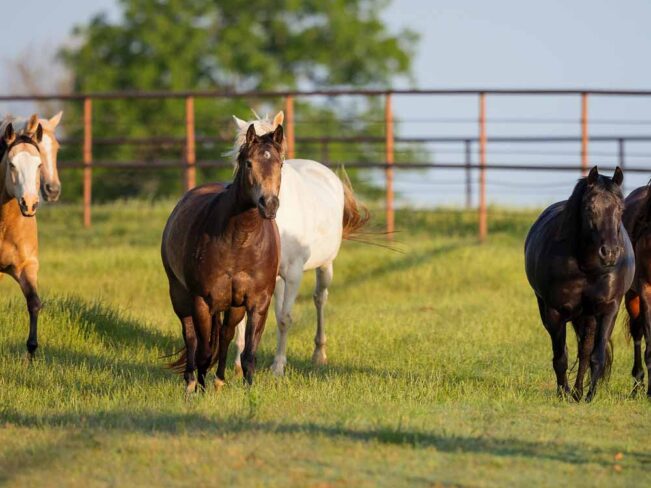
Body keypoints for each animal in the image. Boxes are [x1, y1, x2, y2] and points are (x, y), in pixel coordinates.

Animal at [162, 123, 283, 391]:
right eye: (249, 163)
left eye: (280, 163)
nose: (269, 204)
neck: (239, 241)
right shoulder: (202, 301)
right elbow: (204, 352)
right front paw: (200, 390)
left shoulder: (258, 302)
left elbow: (249, 355)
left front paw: (249, 392)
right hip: (179, 295)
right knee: (191, 337)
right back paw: (191, 383)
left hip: (234, 305)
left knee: (226, 334)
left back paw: (218, 381)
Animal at [230, 111, 369, 376]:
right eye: (242, 160)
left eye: (279, 162)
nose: (266, 204)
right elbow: (246, 318)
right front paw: (239, 365)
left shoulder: (294, 273)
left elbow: (285, 318)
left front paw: (277, 367)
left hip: (325, 266)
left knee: (320, 298)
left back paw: (319, 354)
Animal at [524, 166, 634, 402]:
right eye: (590, 208)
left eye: (620, 209)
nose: (610, 253)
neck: (588, 267)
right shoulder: (555, 311)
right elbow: (560, 357)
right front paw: (562, 394)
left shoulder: (609, 308)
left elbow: (595, 356)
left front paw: (589, 396)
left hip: (589, 315)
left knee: (585, 351)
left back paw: (578, 392)